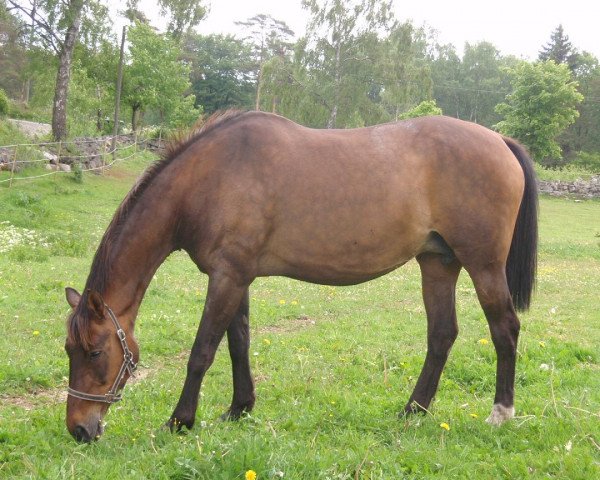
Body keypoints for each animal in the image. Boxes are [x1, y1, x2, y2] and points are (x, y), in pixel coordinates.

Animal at [63, 109, 536, 442]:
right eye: (69, 349)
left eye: (93, 351)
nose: (79, 429)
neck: (211, 178)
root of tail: (499, 140)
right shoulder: (236, 276)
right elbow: (238, 343)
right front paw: (239, 409)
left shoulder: (227, 276)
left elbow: (203, 351)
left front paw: (180, 421)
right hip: (438, 264)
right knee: (441, 334)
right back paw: (412, 410)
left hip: (483, 265)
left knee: (504, 329)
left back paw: (500, 413)